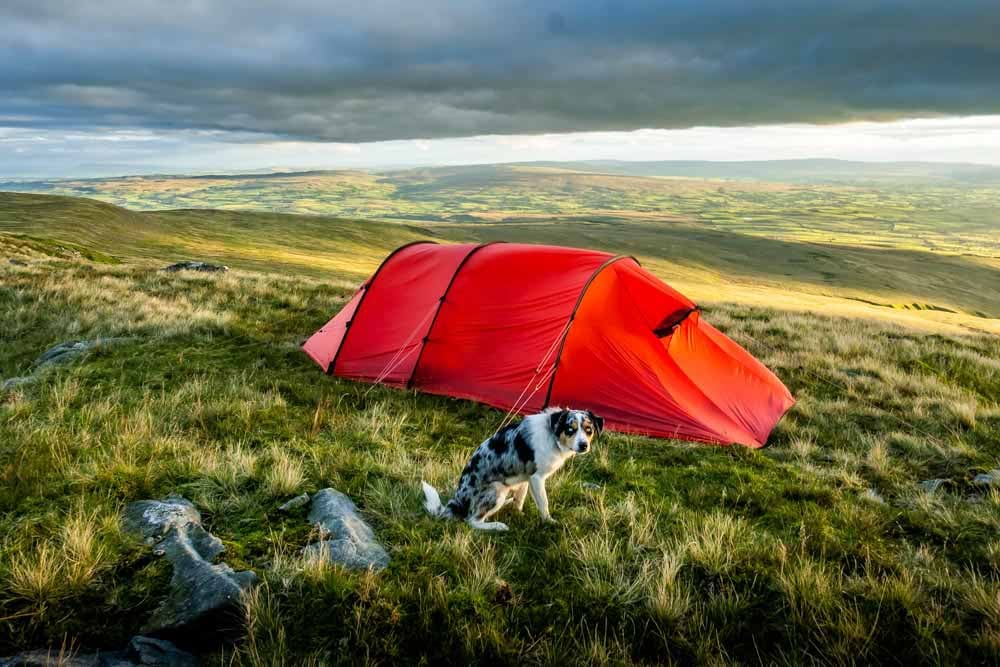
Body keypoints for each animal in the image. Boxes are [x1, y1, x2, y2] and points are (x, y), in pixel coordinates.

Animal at [420, 408, 600, 532]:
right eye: (570, 429)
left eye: (588, 429)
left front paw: (517, 514)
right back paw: (497, 526)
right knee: (472, 521)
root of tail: (456, 503)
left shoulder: (526, 478)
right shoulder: (537, 478)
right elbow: (544, 503)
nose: (583, 445)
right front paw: (549, 522)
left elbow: (519, 499)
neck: (553, 435)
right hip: (497, 489)